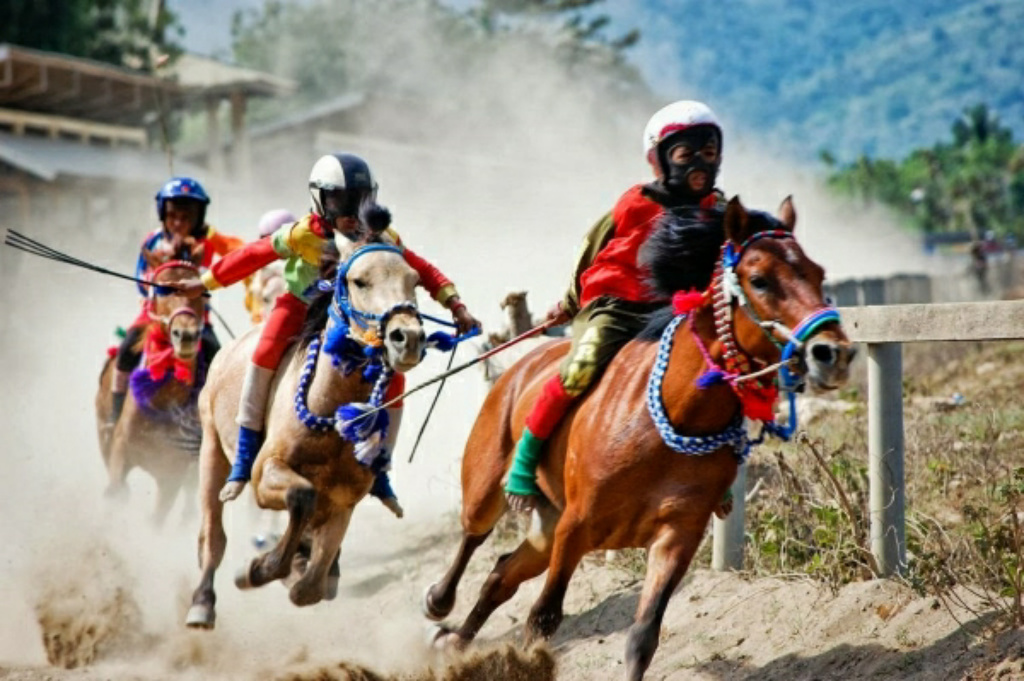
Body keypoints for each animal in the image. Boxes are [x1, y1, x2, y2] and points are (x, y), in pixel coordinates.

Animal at [96, 261, 207, 524]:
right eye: (162, 289)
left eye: (203, 294)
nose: (186, 335)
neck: (162, 403)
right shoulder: (119, 452)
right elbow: (116, 489)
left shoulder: (173, 475)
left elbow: (156, 519)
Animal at [186, 233, 425, 626]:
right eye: (360, 281)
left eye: (414, 280)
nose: (407, 337)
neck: (332, 412)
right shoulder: (265, 473)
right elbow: (301, 496)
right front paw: (258, 569)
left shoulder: (344, 499)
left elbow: (310, 588)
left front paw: (285, 567)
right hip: (211, 447)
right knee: (212, 533)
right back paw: (202, 603)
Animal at [421, 197, 856, 679]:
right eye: (759, 279)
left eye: (817, 273)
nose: (832, 353)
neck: (673, 416)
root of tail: (517, 367)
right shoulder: (577, 525)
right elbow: (543, 617)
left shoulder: (677, 533)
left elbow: (643, 637)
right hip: (490, 485)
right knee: (474, 533)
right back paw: (439, 602)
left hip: (546, 523)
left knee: (500, 575)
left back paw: (454, 645)